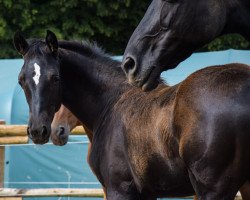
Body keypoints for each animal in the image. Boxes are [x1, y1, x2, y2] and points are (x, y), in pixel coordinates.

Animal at [13, 30, 250, 199]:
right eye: (21, 79)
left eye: (55, 78)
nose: (40, 131)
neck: (109, 103)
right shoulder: (147, 193)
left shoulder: (119, 189)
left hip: (212, 188)